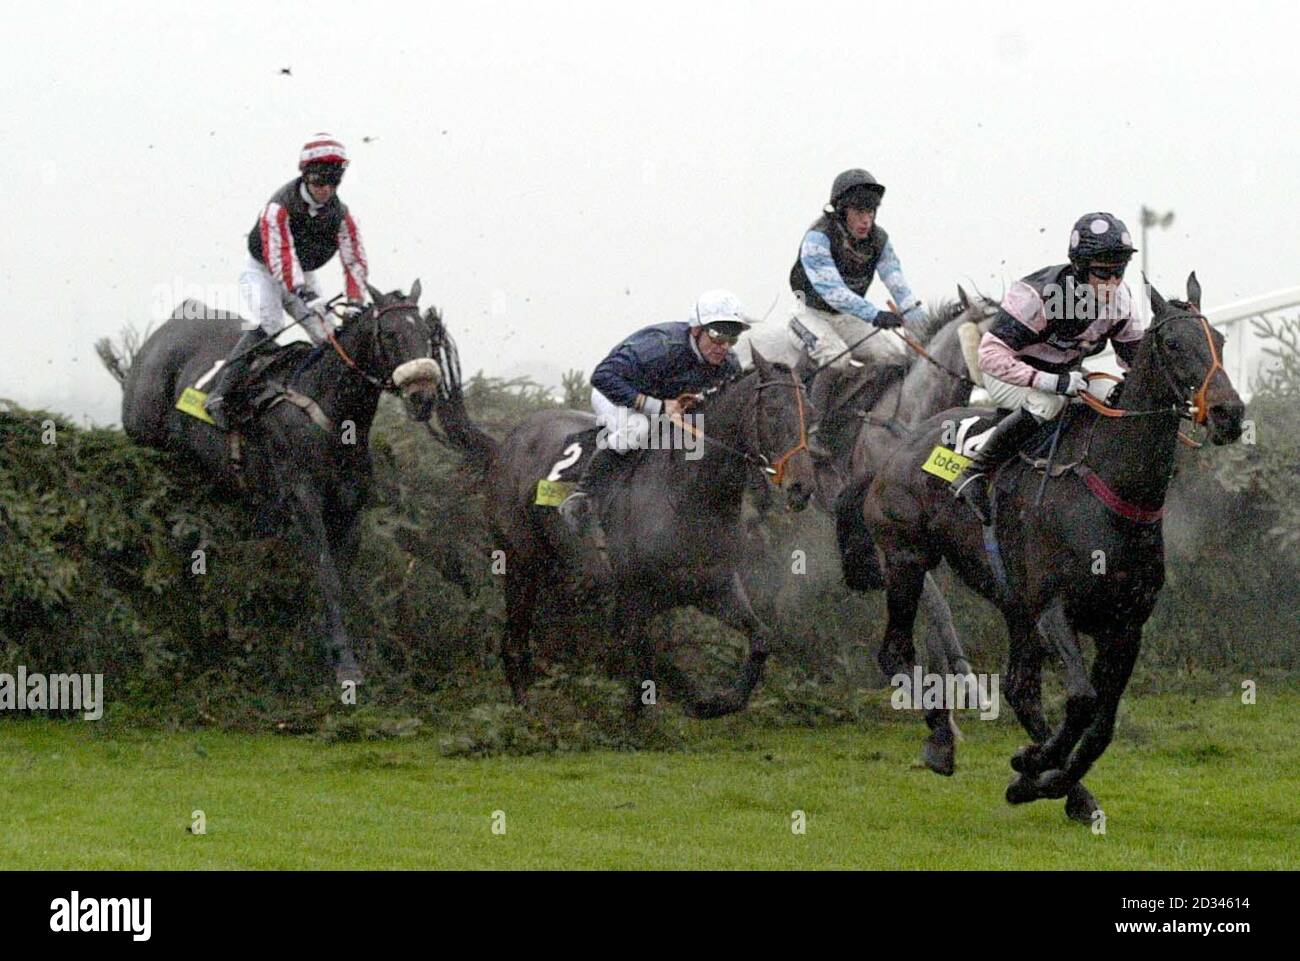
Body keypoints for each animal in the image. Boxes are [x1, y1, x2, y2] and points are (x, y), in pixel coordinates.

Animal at [483, 348, 816, 717]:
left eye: (812, 416)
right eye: (773, 411)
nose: (802, 487)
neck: (686, 493)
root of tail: (513, 437)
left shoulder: (714, 587)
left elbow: (761, 639)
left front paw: (712, 702)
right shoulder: (635, 598)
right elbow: (643, 670)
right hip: (521, 562)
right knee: (514, 640)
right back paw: (524, 709)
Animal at [847, 274, 1242, 821]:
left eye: (1219, 341)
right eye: (1173, 344)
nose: (1230, 413)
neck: (1111, 489)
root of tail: (892, 448)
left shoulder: (1126, 625)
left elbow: (1102, 723)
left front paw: (1043, 780)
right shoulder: (1055, 609)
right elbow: (1081, 699)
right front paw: (1034, 762)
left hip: (1012, 602)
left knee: (1019, 688)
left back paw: (1066, 791)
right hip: (907, 560)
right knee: (896, 651)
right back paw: (942, 740)